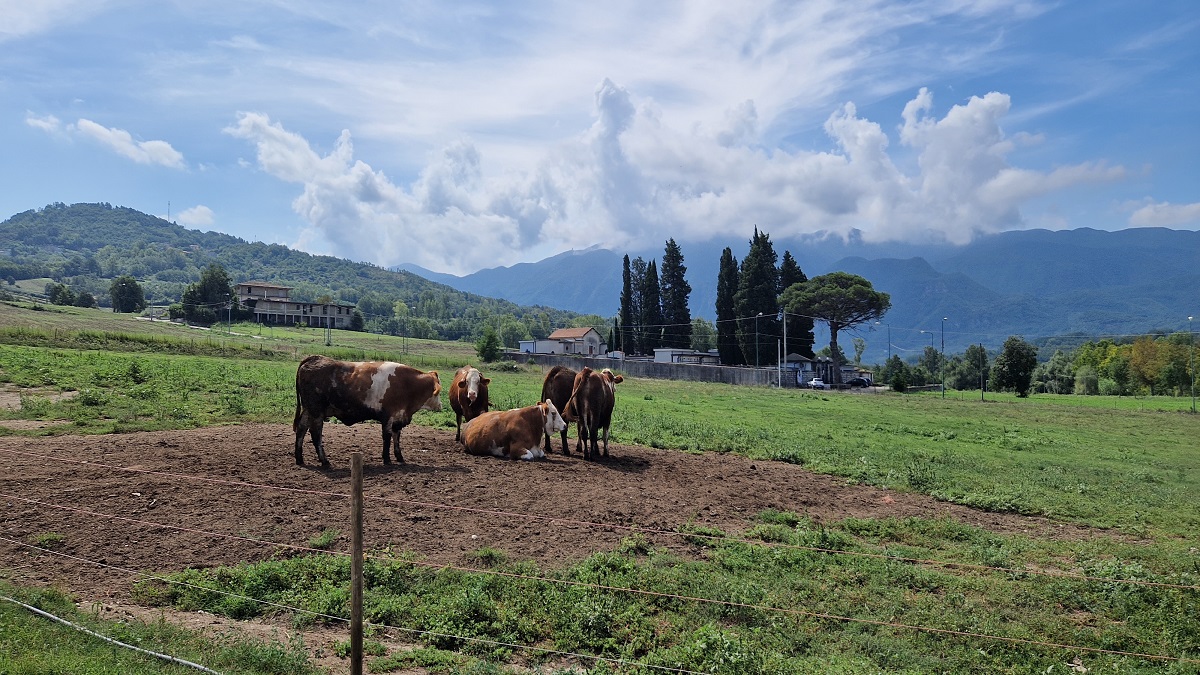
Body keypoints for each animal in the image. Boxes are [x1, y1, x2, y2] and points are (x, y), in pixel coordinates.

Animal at [292, 353, 444, 468]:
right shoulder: (388, 417)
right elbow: (387, 438)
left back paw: (299, 458)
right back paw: (324, 461)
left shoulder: (398, 417)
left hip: (308, 410)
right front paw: (387, 459)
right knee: (315, 434)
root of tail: (315, 358)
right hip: (317, 412)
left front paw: (399, 457)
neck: (407, 384)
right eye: (438, 392)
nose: (441, 405)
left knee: (301, 429)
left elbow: (396, 438)